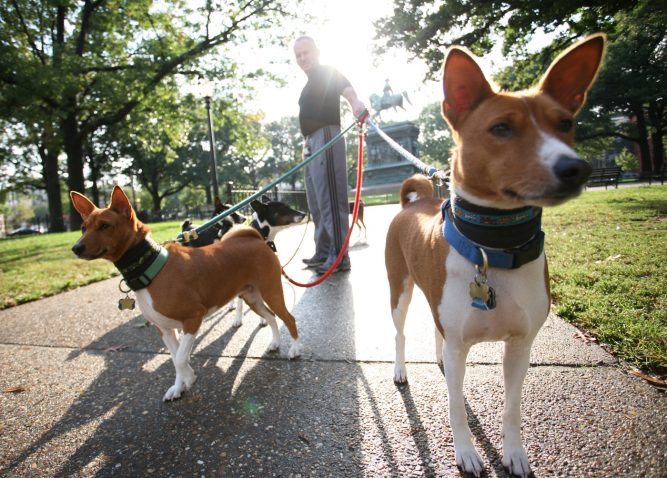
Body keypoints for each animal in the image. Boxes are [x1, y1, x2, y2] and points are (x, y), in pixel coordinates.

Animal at [384, 34, 608, 478]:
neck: (495, 247)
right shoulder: (459, 346)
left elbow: (511, 408)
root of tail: (410, 205)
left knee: (436, 334)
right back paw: (402, 369)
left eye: (565, 124)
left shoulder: (520, 345)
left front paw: (515, 453)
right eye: (501, 128)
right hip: (399, 291)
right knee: (400, 334)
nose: (576, 168)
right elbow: (454, 406)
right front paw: (466, 452)